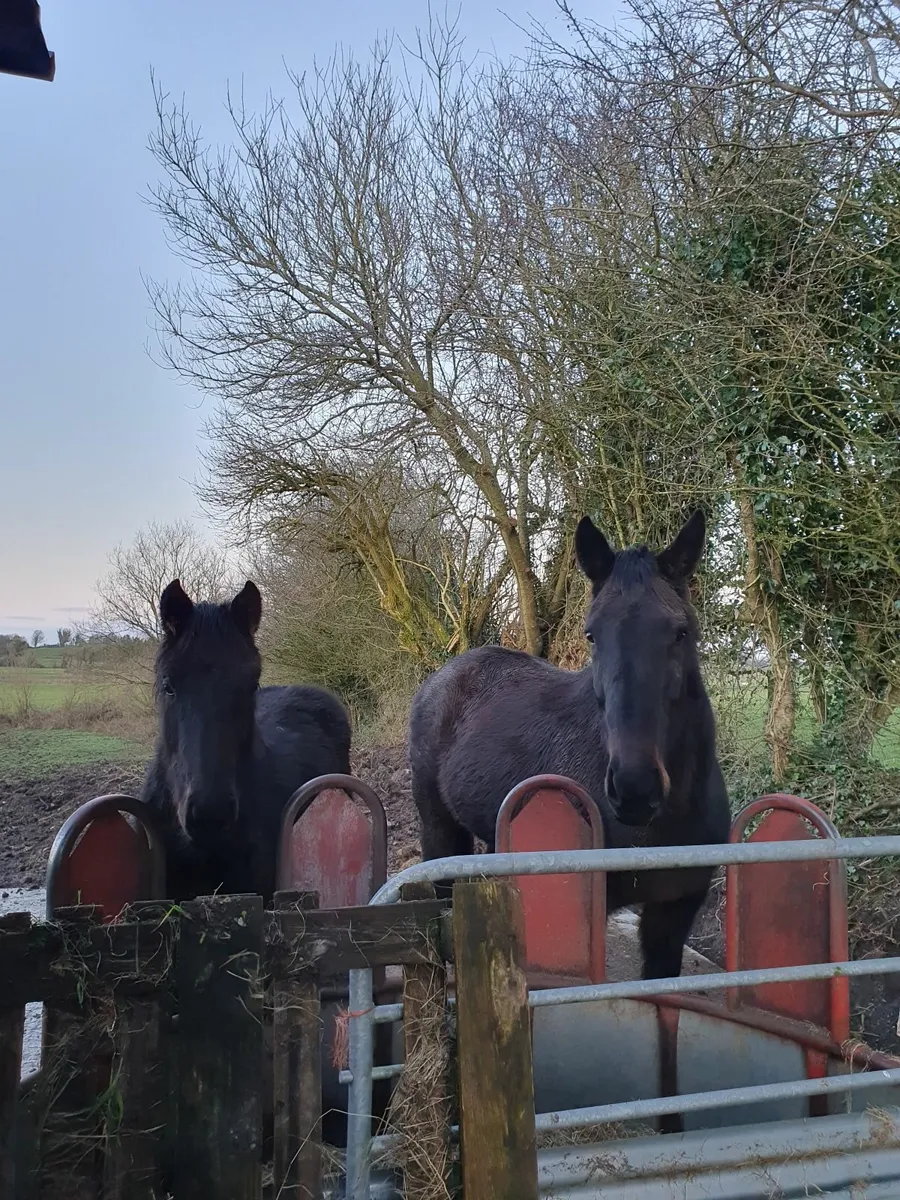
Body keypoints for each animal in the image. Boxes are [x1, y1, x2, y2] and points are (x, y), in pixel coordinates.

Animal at [408, 510, 731, 980]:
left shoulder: (673, 913)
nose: (635, 788)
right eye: (592, 634)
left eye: (681, 632)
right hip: (438, 829)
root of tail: (441, 677)